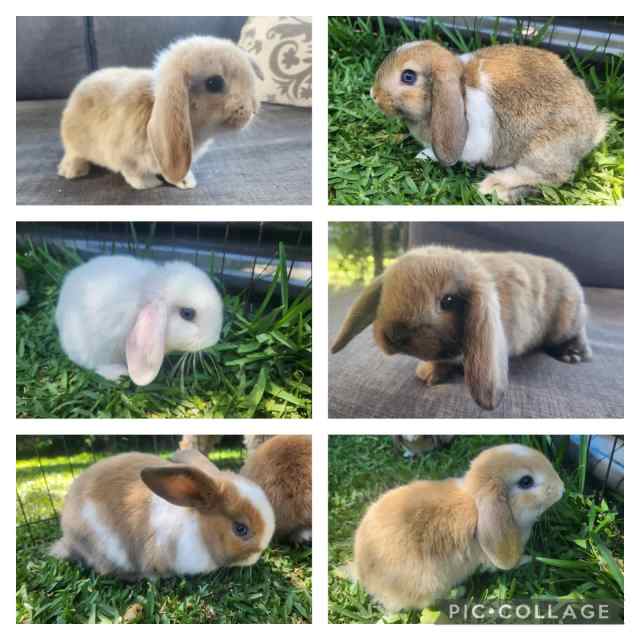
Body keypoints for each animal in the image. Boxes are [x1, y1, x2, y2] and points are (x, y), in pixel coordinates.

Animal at [58, 35, 261, 190]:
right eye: (214, 83)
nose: (253, 109)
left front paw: (186, 181)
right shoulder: (124, 156)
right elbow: (133, 174)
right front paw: (149, 184)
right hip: (75, 144)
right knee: (73, 154)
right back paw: (73, 171)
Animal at [331, 245, 591, 410]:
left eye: (448, 301)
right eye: (385, 292)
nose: (394, 334)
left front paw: (431, 374)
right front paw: (429, 372)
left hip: (566, 322)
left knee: (576, 336)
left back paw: (572, 355)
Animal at [350, 443, 564, 612]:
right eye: (526, 481)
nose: (562, 488)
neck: (475, 499)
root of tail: (367, 579)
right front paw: (528, 559)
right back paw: (459, 592)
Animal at [371, 41, 609, 202]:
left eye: (408, 77)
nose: (373, 95)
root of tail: (592, 132)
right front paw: (424, 154)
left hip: (543, 150)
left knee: (549, 177)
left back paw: (495, 187)